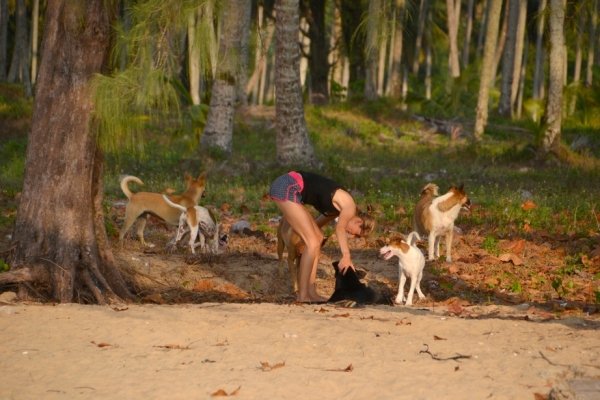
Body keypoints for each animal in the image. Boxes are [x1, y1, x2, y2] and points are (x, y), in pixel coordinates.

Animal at [270, 171, 376, 304]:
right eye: (357, 234)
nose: (352, 236)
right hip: (287, 205)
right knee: (281, 257)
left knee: (315, 240)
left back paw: (313, 296)